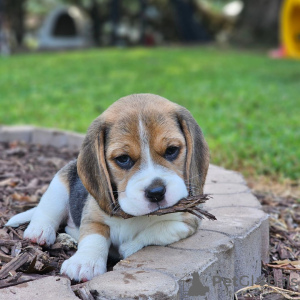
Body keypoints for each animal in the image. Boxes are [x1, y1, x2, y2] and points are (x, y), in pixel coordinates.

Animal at [6, 93, 209, 282]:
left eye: (172, 150)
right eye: (123, 159)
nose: (156, 192)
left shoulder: (187, 222)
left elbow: (159, 230)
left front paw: (129, 246)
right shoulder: (93, 217)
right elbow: (94, 237)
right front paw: (84, 263)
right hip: (58, 185)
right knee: (47, 210)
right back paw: (39, 230)